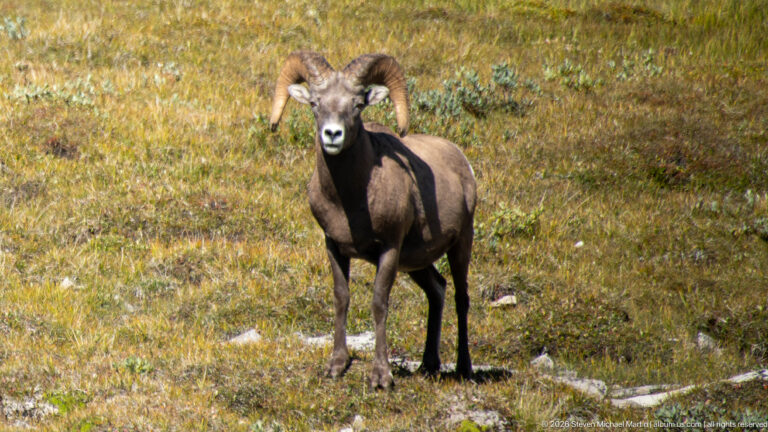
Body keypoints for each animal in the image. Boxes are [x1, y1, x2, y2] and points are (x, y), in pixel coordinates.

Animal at [269, 51, 476, 389]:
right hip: (417, 263)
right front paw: (337, 365)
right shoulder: (334, 246)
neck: (350, 200)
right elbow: (342, 298)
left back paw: (464, 369)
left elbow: (379, 303)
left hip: (461, 244)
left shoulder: (389, 249)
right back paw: (428, 365)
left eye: (357, 104)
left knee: (461, 297)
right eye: (315, 103)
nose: (332, 135)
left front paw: (381, 377)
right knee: (437, 290)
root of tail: (462, 161)